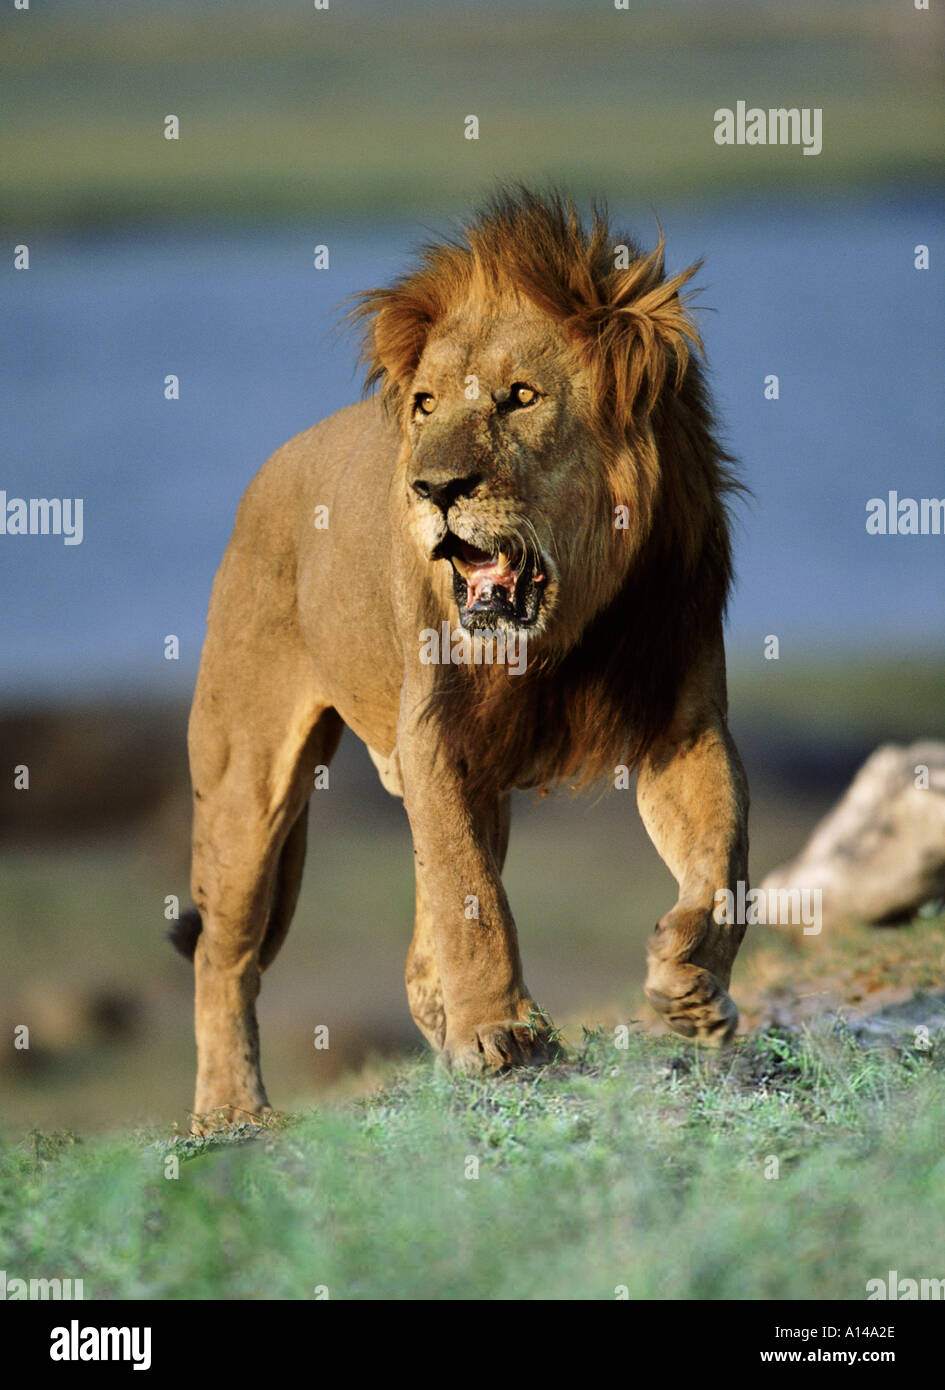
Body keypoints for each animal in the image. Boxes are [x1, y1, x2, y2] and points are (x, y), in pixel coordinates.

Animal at [172, 188, 749, 1129]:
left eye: (520, 398)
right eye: (425, 405)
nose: (433, 489)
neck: (562, 630)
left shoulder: (683, 726)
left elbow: (724, 857)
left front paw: (691, 981)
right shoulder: (434, 732)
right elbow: (468, 896)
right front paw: (498, 1032)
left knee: (412, 950)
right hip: (243, 781)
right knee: (224, 955)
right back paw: (231, 1112)